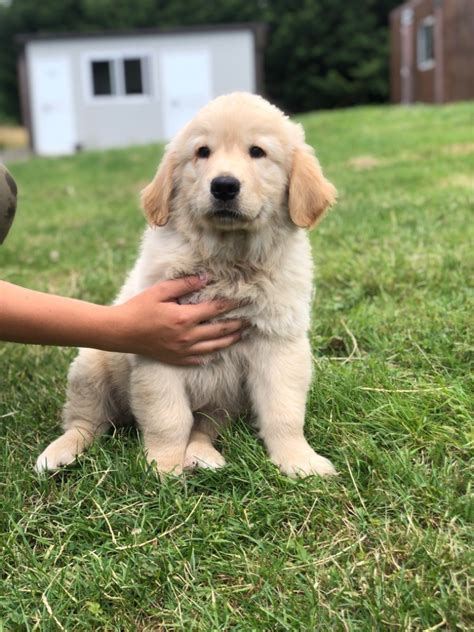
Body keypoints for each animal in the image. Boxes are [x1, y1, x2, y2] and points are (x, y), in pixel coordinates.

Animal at [37, 92, 338, 478]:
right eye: (202, 152)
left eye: (257, 152)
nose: (224, 186)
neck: (226, 261)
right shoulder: (157, 346)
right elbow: (169, 418)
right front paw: (164, 466)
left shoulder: (279, 342)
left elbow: (283, 411)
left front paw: (299, 459)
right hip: (91, 366)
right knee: (86, 421)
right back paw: (61, 451)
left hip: (225, 400)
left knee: (204, 427)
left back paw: (202, 454)